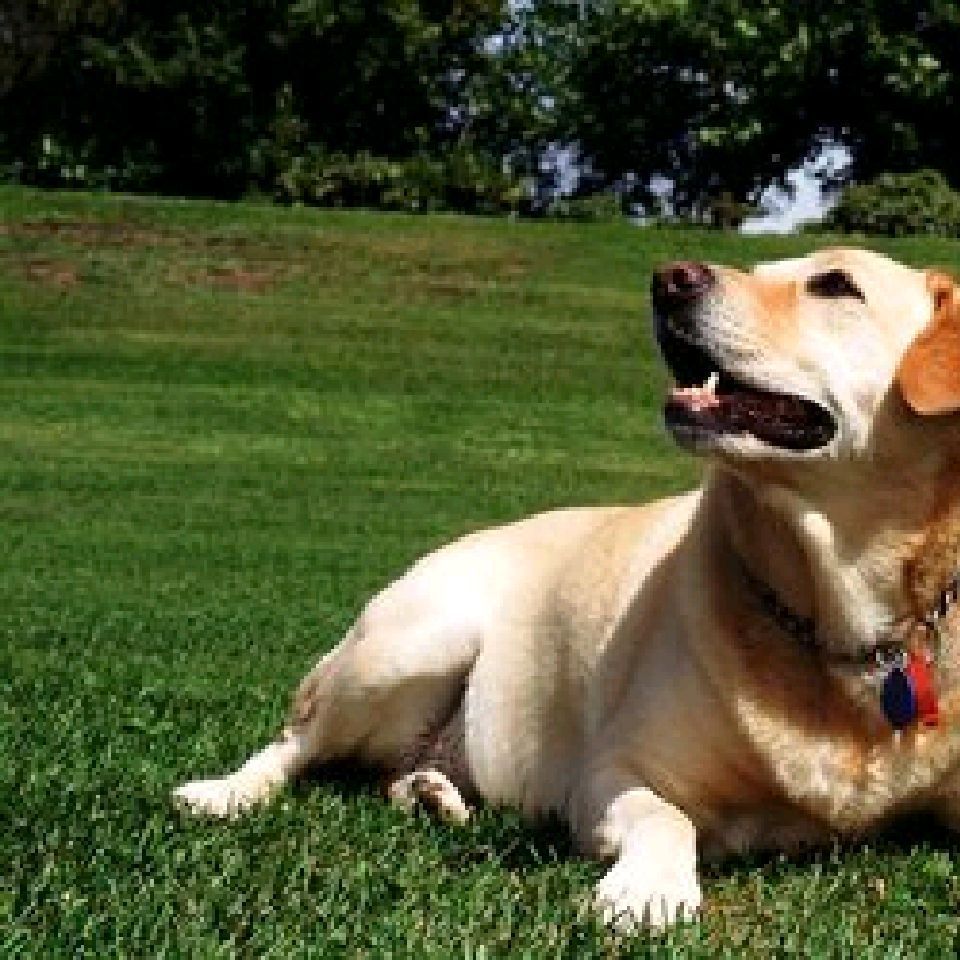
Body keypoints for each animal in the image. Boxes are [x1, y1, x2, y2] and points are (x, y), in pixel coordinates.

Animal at [175, 247, 960, 929]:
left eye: (834, 285)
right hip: (410, 643)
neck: (849, 625)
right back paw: (222, 794)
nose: (669, 278)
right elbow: (667, 817)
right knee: (294, 744)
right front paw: (647, 892)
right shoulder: (614, 771)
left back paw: (432, 794)